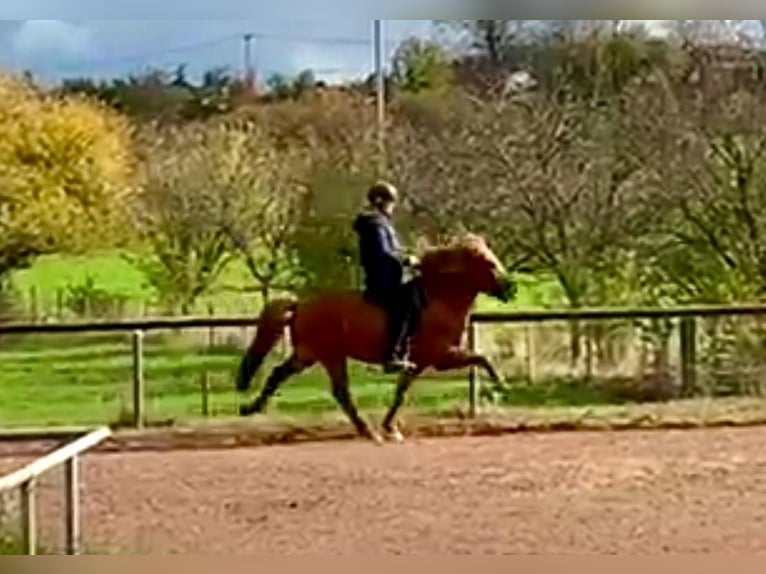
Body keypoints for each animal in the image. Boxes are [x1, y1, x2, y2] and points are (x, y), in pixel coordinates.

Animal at [234, 233, 518, 444]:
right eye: (489, 263)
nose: (511, 289)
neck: (439, 299)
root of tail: (301, 304)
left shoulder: (418, 362)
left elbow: (400, 393)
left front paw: (391, 427)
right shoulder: (441, 356)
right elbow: (482, 358)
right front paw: (501, 385)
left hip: (307, 354)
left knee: (278, 374)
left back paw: (251, 408)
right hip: (330, 355)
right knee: (341, 392)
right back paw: (367, 431)